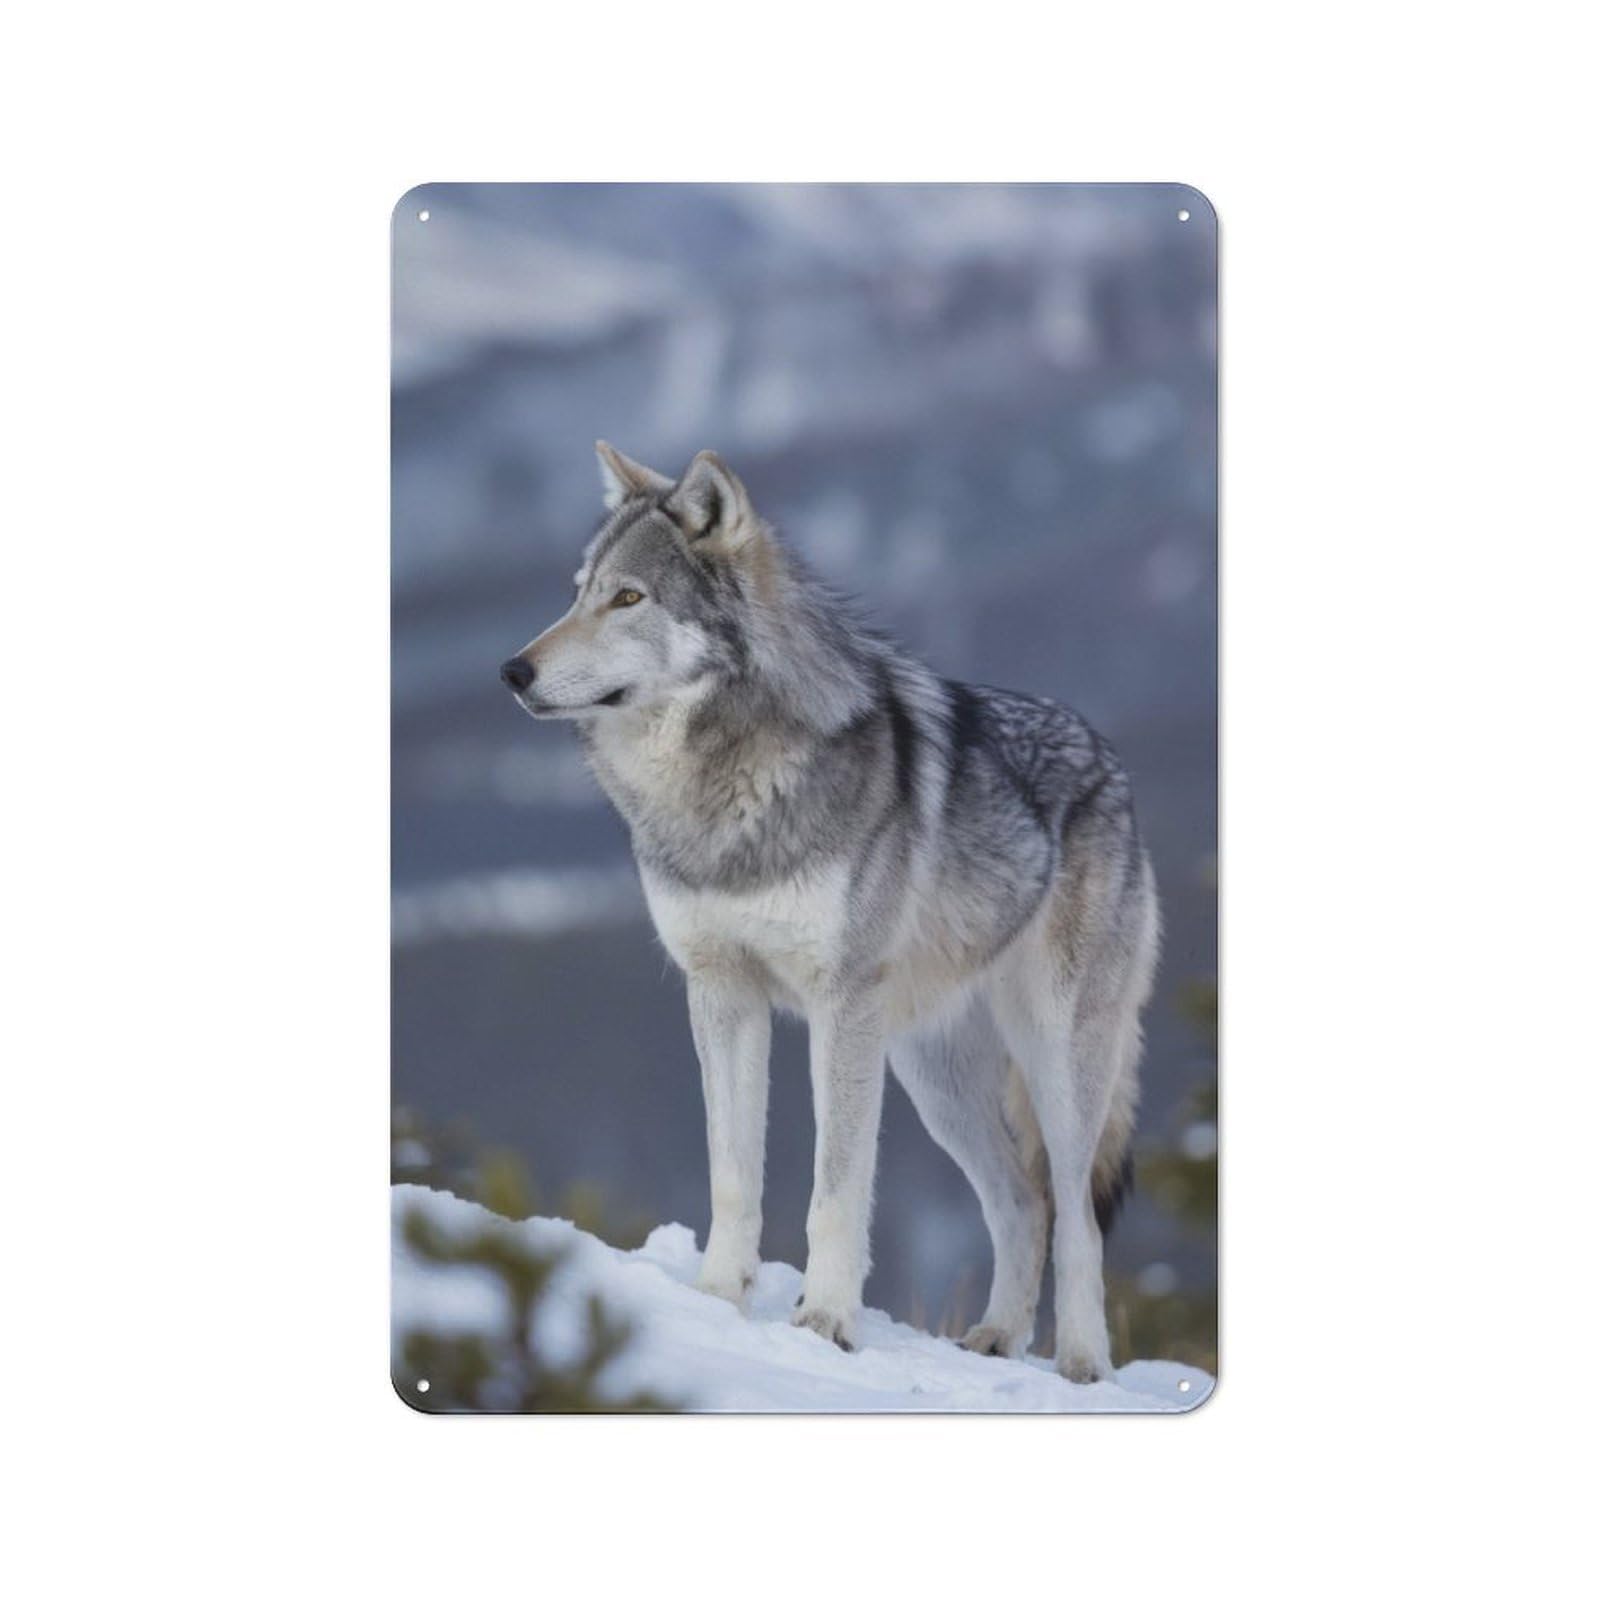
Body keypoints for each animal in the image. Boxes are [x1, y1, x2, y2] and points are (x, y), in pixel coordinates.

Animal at [499, 443, 1159, 1381]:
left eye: (630, 598)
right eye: (577, 591)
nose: (513, 671)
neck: (721, 793)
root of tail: (1109, 756)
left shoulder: (839, 1004)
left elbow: (837, 1187)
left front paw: (825, 1323)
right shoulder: (721, 990)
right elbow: (733, 1172)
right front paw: (714, 1301)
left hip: (1054, 1059)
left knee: (1073, 1213)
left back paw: (1080, 1363)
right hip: (932, 1078)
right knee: (1021, 1202)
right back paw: (996, 1339)